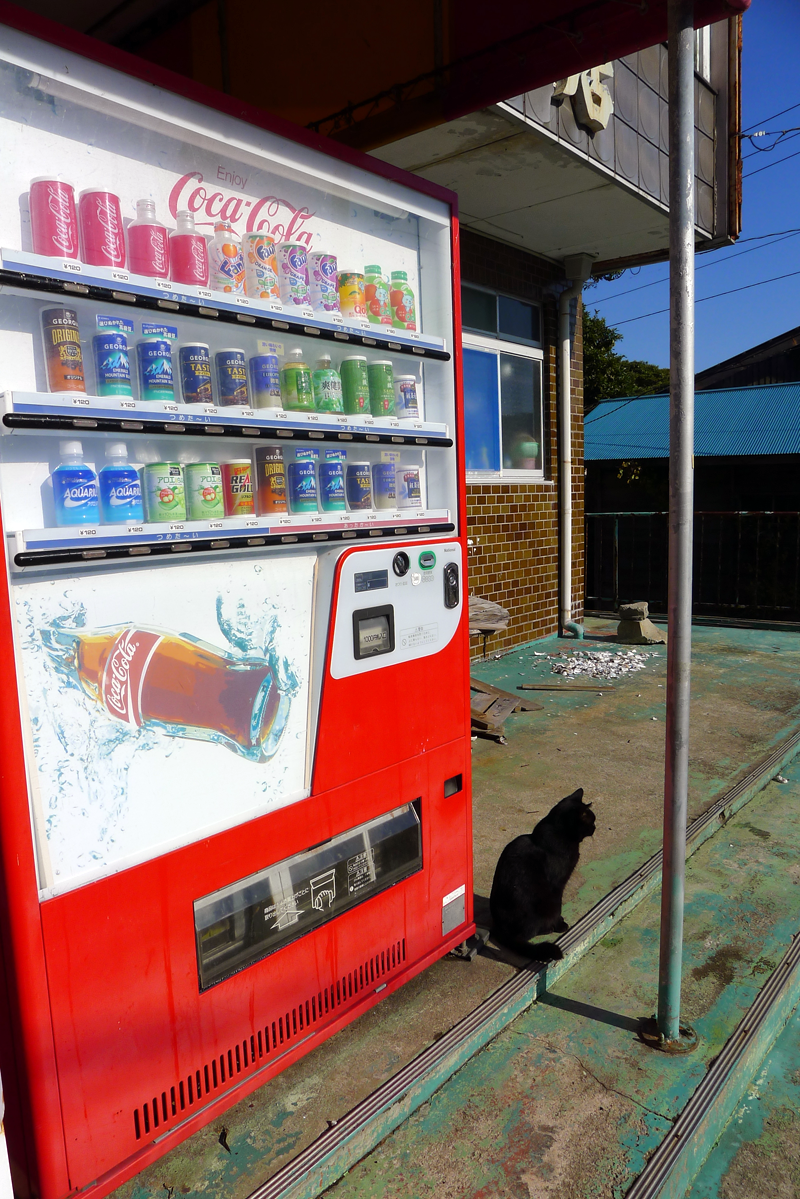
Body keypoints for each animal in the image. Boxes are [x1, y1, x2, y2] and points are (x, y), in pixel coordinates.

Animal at [489, 786, 594, 963]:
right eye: (591, 820)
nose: (595, 827)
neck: (560, 835)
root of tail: (503, 931)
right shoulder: (557, 885)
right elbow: (558, 907)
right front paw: (560, 924)